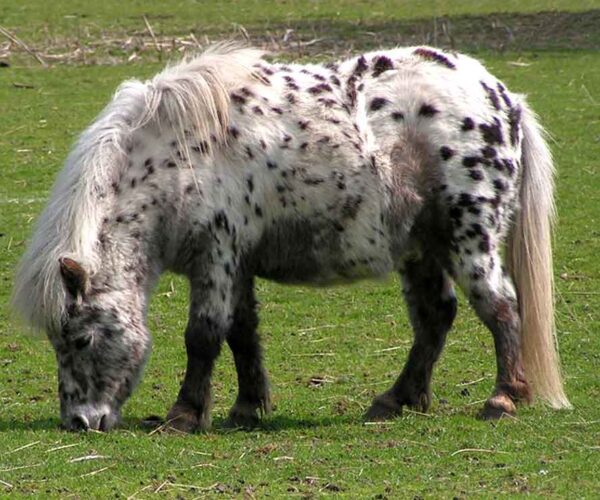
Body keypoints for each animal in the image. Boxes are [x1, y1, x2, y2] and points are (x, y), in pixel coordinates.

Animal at [11, 45, 568, 432]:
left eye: (81, 338)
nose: (80, 422)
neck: (173, 155)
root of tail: (505, 100)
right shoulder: (235, 262)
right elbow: (242, 333)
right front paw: (246, 407)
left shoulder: (215, 255)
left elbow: (204, 336)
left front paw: (185, 415)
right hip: (420, 246)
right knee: (435, 317)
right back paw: (397, 400)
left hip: (469, 237)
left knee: (501, 306)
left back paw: (502, 399)